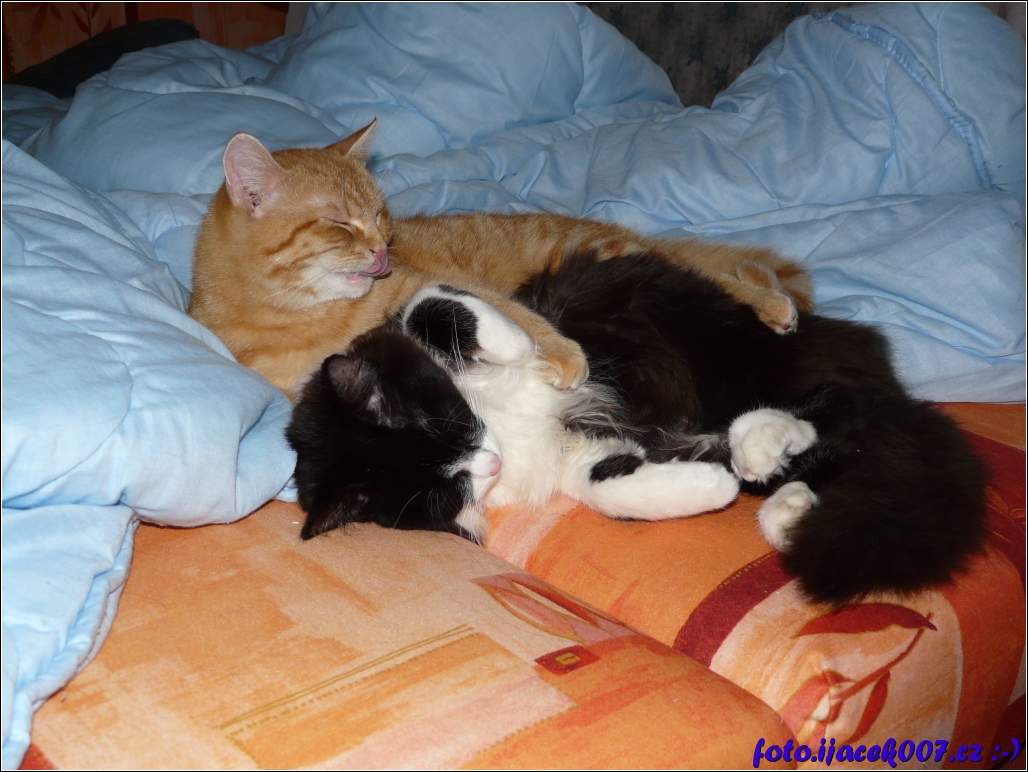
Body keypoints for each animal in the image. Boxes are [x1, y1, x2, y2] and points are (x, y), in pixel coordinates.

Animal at [189, 121, 812, 399]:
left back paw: (771, 302)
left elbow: (526, 320)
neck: (297, 316)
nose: (384, 248)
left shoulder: (437, 285)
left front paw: (563, 356)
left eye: (382, 214)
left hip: (624, 257)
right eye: (341, 222)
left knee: (714, 273)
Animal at [287, 251, 987, 605]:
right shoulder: (583, 455)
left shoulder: (432, 313)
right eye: (440, 490)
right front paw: (708, 488)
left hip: (736, 358)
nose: (487, 462)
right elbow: (613, 487)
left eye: (445, 425)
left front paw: (542, 352)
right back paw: (775, 499)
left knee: (840, 416)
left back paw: (761, 447)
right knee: (828, 445)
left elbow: (452, 309)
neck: (503, 429)